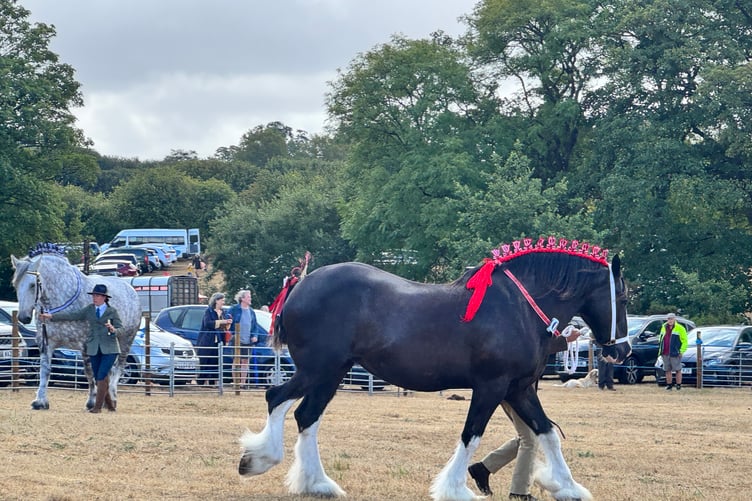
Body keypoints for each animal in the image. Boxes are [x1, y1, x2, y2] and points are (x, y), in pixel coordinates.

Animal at [11, 243, 141, 410]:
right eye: (15, 284)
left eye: (33, 285)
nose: (23, 317)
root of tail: (131, 290)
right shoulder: (46, 343)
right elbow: (45, 371)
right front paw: (40, 401)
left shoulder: (86, 345)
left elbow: (90, 372)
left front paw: (92, 402)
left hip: (126, 341)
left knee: (119, 367)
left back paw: (112, 398)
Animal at [238, 237, 631, 501]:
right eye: (624, 298)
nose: (623, 350)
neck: (519, 307)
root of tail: (299, 285)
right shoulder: (491, 386)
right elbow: (471, 434)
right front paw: (454, 489)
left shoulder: (519, 389)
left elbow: (547, 432)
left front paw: (569, 487)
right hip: (320, 370)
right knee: (283, 401)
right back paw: (274, 464)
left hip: (328, 373)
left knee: (298, 411)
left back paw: (308, 480)